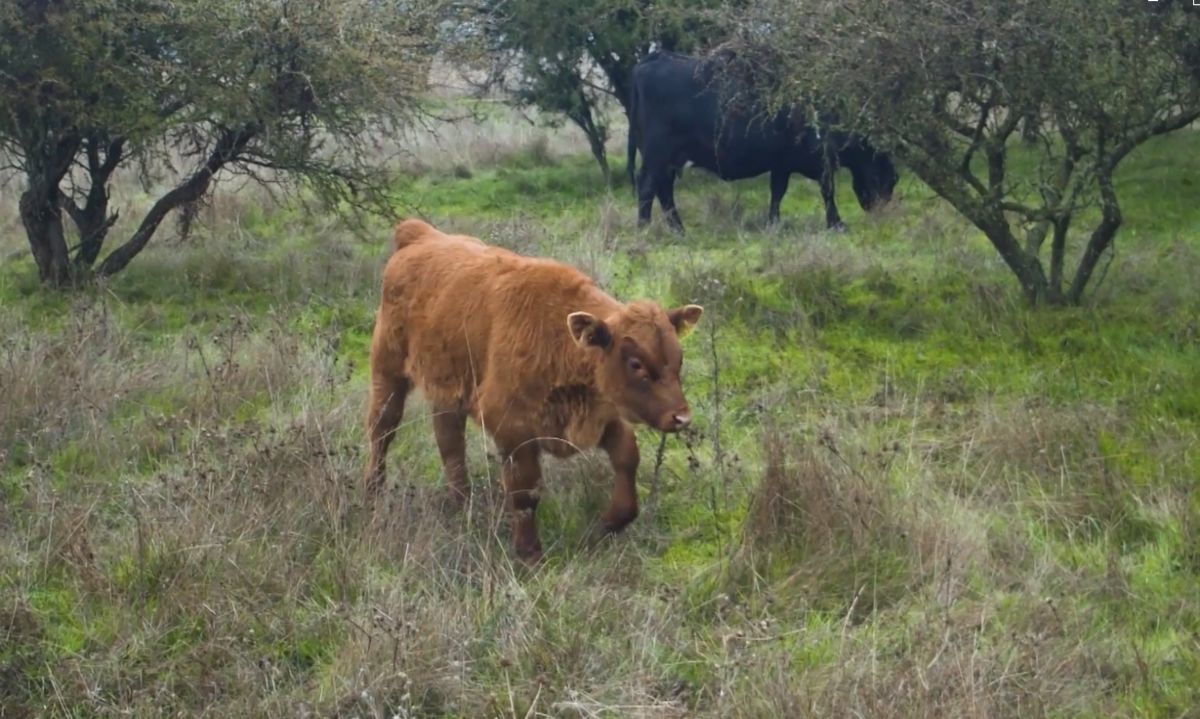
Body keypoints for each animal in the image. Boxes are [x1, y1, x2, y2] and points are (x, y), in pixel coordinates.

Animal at [364, 218, 700, 561]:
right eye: (636, 363)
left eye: (679, 356)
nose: (681, 418)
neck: (559, 336)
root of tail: (418, 235)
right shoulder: (513, 430)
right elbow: (525, 492)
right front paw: (529, 555)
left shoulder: (601, 417)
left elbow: (627, 457)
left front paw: (607, 523)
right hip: (387, 372)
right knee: (382, 430)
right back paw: (372, 494)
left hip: (447, 389)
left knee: (450, 443)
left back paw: (462, 505)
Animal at [628, 50, 902, 230]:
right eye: (892, 178)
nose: (883, 213)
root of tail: (655, 58)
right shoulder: (821, 159)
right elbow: (827, 190)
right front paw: (836, 223)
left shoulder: (782, 162)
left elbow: (777, 192)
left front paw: (773, 223)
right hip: (658, 154)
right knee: (648, 186)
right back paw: (644, 228)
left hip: (669, 158)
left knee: (663, 189)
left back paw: (678, 229)